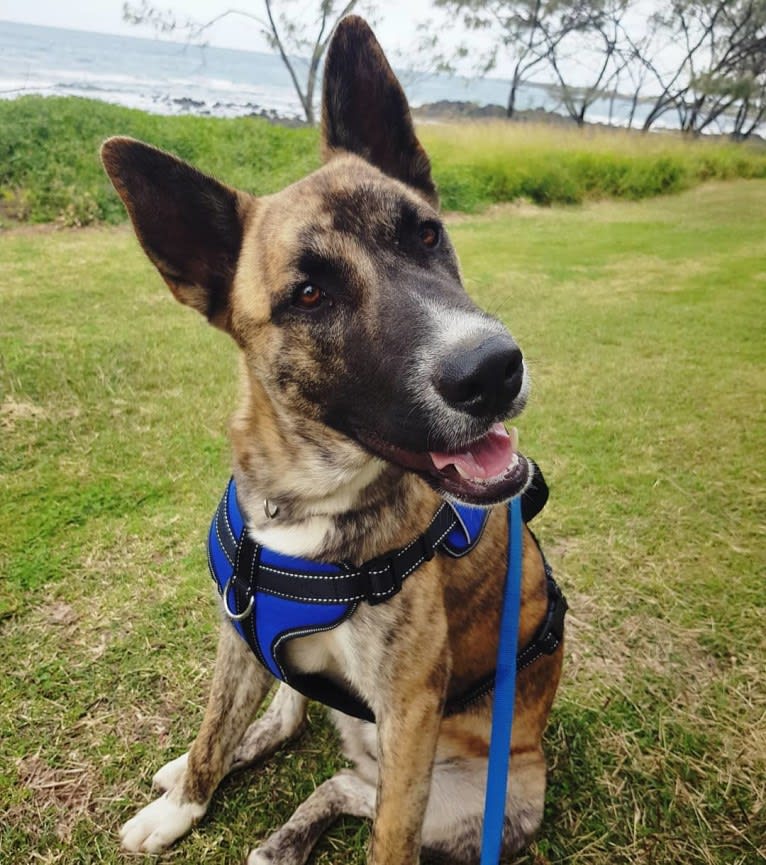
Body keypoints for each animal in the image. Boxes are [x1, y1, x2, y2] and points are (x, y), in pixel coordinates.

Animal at [102, 15, 568, 864]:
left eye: (427, 235)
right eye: (310, 294)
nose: (493, 369)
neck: (306, 499)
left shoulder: (411, 708)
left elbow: (389, 835)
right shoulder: (237, 635)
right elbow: (215, 726)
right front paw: (184, 801)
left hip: (458, 795)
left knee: (352, 787)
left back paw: (289, 834)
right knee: (292, 730)